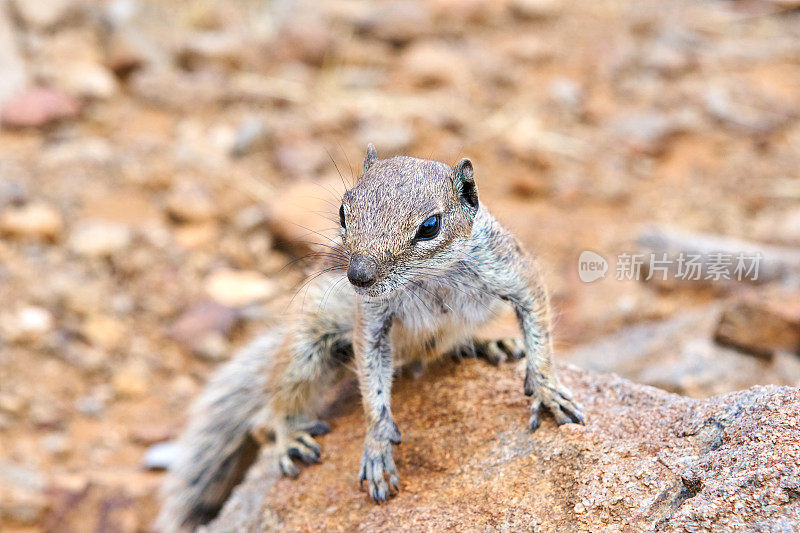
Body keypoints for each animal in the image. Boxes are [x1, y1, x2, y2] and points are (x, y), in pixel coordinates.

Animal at [156, 143, 584, 528]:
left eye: (430, 226)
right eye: (343, 212)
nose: (358, 274)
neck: (431, 280)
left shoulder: (513, 270)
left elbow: (539, 329)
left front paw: (548, 391)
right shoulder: (372, 320)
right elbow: (373, 384)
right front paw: (377, 444)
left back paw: (488, 343)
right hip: (306, 346)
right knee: (270, 410)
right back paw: (289, 435)